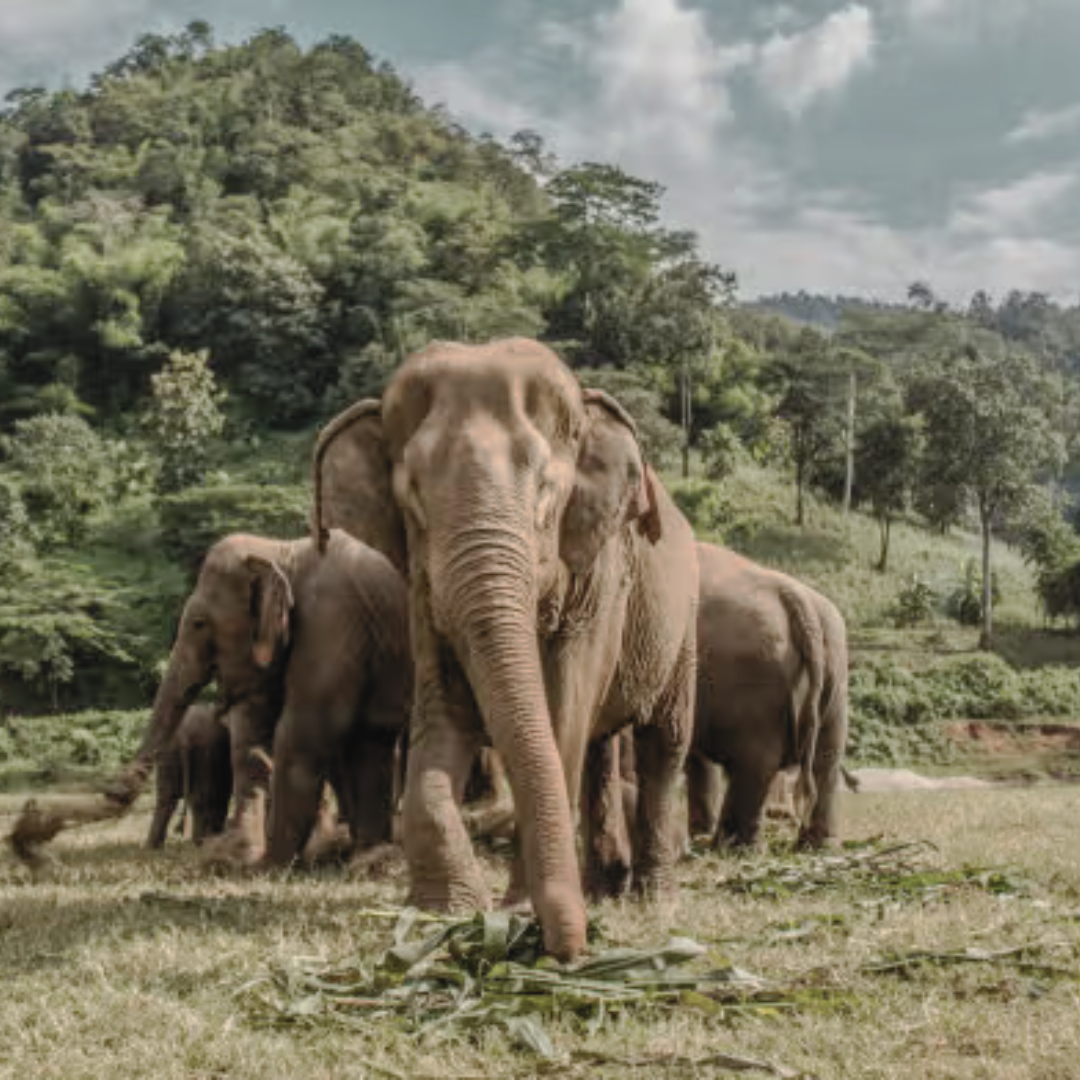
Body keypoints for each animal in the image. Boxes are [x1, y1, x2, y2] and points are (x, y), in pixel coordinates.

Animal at [147, 701, 232, 849]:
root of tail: (184, 733)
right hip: (204, 753)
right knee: (201, 796)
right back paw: (200, 841)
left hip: (169, 753)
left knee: (165, 798)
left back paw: (153, 846)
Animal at [311, 337, 699, 962]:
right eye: (412, 497)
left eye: (545, 491)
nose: (570, 949)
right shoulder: (422, 589)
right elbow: (442, 710)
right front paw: (443, 914)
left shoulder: (601, 575)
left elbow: (562, 711)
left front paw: (515, 912)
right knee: (600, 747)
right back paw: (603, 888)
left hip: (682, 622)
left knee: (663, 742)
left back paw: (652, 900)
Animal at [685, 541, 849, 850]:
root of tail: (795, 596)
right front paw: (697, 833)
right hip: (835, 666)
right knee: (826, 759)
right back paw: (817, 846)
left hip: (751, 676)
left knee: (755, 760)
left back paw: (732, 847)